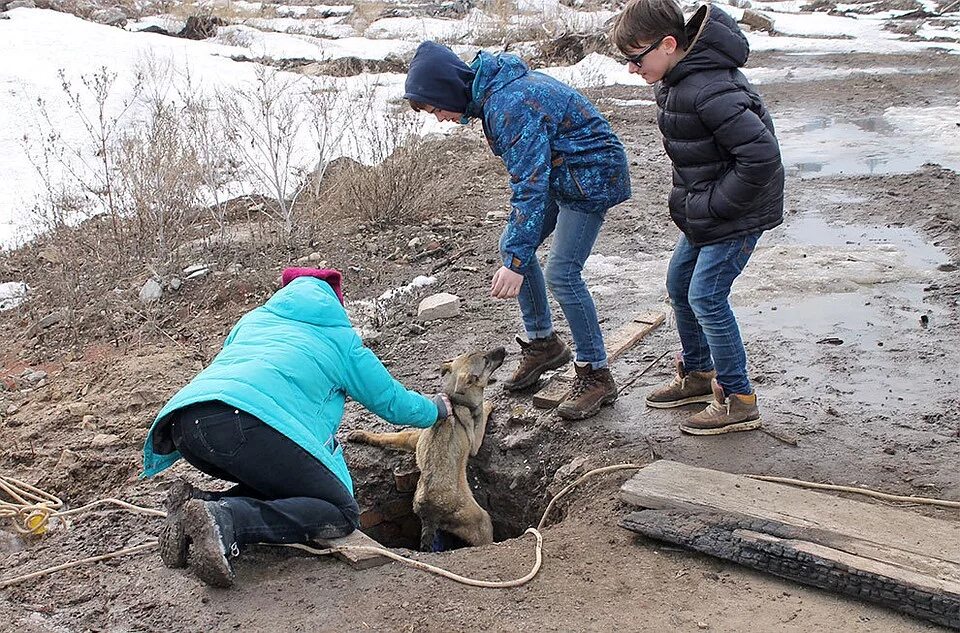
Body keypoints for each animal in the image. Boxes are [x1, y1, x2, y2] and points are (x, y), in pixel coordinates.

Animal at [346, 346, 510, 548]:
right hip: (482, 522)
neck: (454, 398)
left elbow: (390, 436)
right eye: (486, 361)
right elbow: (483, 416)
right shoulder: (476, 441)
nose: (503, 349)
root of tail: (430, 512)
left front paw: (361, 435)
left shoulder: (412, 438)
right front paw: (488, 404)